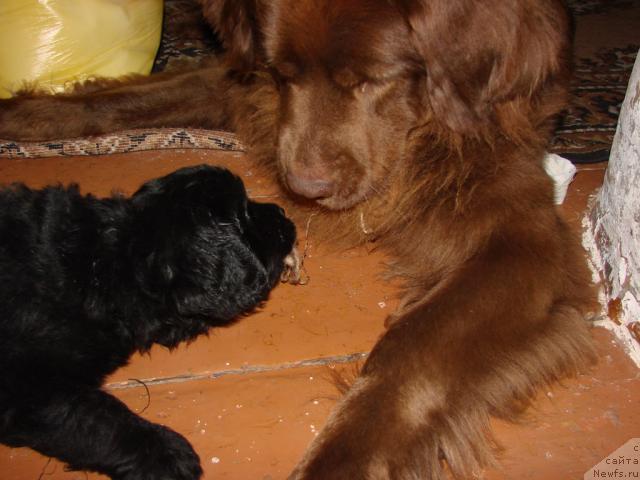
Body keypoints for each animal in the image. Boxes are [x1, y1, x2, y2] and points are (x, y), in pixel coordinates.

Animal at [0, 166, 298, 480]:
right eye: (244, 216)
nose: (281, 211)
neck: (111, 261)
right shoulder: (28, 384)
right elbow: (95, 415)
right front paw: (167, 454)